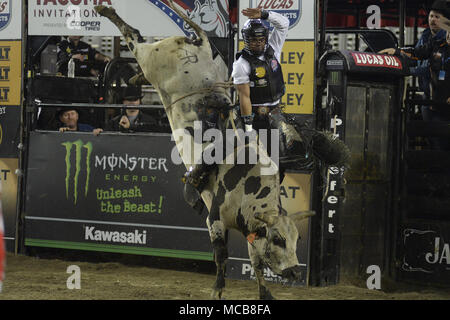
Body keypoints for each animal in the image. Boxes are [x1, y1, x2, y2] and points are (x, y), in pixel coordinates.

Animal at [96, 1, 316, 300]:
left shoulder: (251, 226)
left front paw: (265, 293)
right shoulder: (216, 220)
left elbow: (256, 259)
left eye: (297, 238)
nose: (294, 272)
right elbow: (221, 256)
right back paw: (105, 11)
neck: (247, 183)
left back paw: (133, 76)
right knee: (134, 36)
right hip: (150, 56)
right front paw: (217, 291)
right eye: (278, 238)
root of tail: (198, 43)